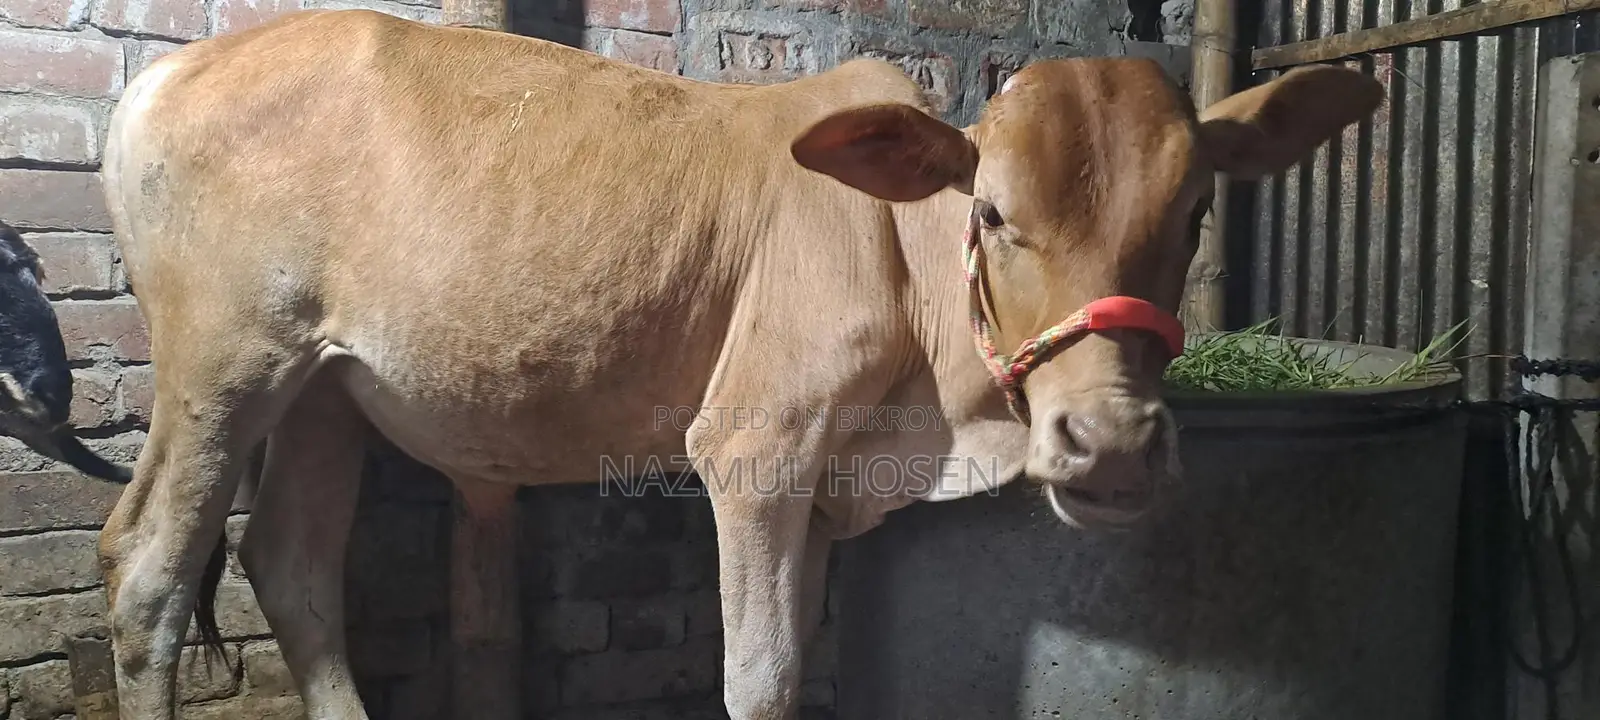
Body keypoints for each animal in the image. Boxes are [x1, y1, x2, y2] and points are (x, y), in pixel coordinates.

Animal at [96, 8, 1384, 719]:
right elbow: (759, 676)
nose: (1108, 443)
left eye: (1196, 211)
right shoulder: (753, 451)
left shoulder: (820, 478)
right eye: (993, 212)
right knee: (146, 571)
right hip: (224, 366)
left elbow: (799, 659)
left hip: (326, 389)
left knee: (293, 568)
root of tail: (163, 75)